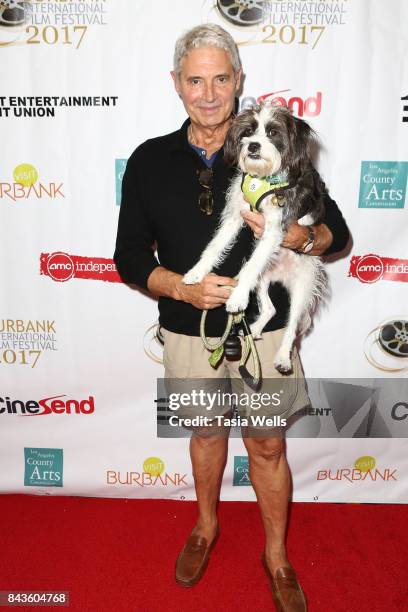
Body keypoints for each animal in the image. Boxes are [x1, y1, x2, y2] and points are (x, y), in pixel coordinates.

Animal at [184, 104, 328, 372]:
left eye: (272, 132)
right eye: (248, 132)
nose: (252, 146)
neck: (263, 178)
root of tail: (282, 275)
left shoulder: (273, 230)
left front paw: (237, 298)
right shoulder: (235, 216)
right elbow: (215, 246)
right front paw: (197, 272)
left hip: (303, 286)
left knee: (292, 324)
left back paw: (283, 357)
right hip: (264, 277)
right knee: (269, 307)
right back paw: (255, 328)